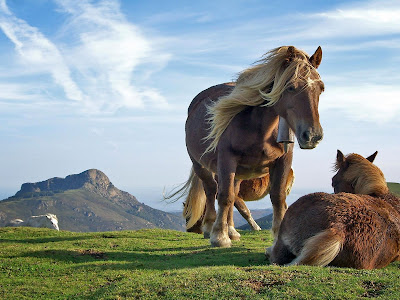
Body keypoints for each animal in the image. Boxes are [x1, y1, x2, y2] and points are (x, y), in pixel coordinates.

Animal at [173, 45, 324, 246]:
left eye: (321, 89)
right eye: (291, 87)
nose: (313, 136)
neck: (260, 128)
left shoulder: (283, 160)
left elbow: (278, 198)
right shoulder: (226, 159)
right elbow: (225, 196)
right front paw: (219, 237)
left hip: (239, 172)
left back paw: (231, 230)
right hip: (201, 165)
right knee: (212, 190)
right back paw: (210, 227)